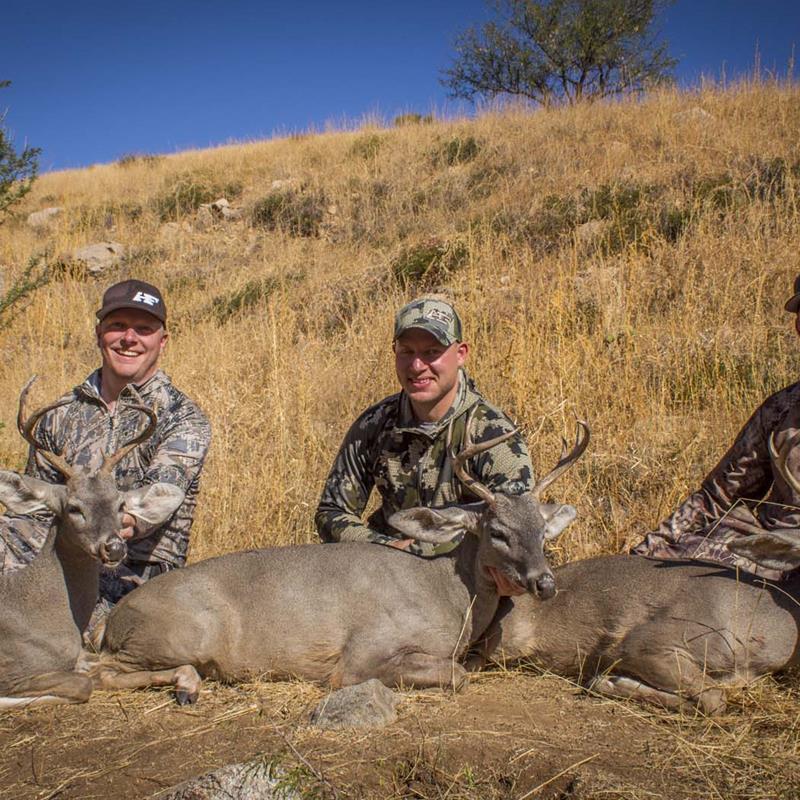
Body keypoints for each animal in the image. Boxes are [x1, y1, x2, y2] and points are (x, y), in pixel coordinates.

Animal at [90, 410, 590, 704]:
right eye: (498, 532)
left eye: (541, 530)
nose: (545, 582)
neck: (446, 593)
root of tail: (115, 620)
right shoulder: (363, 653)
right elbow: (456, 675)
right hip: (179, 635)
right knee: (101, 672)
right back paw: (186, 683)